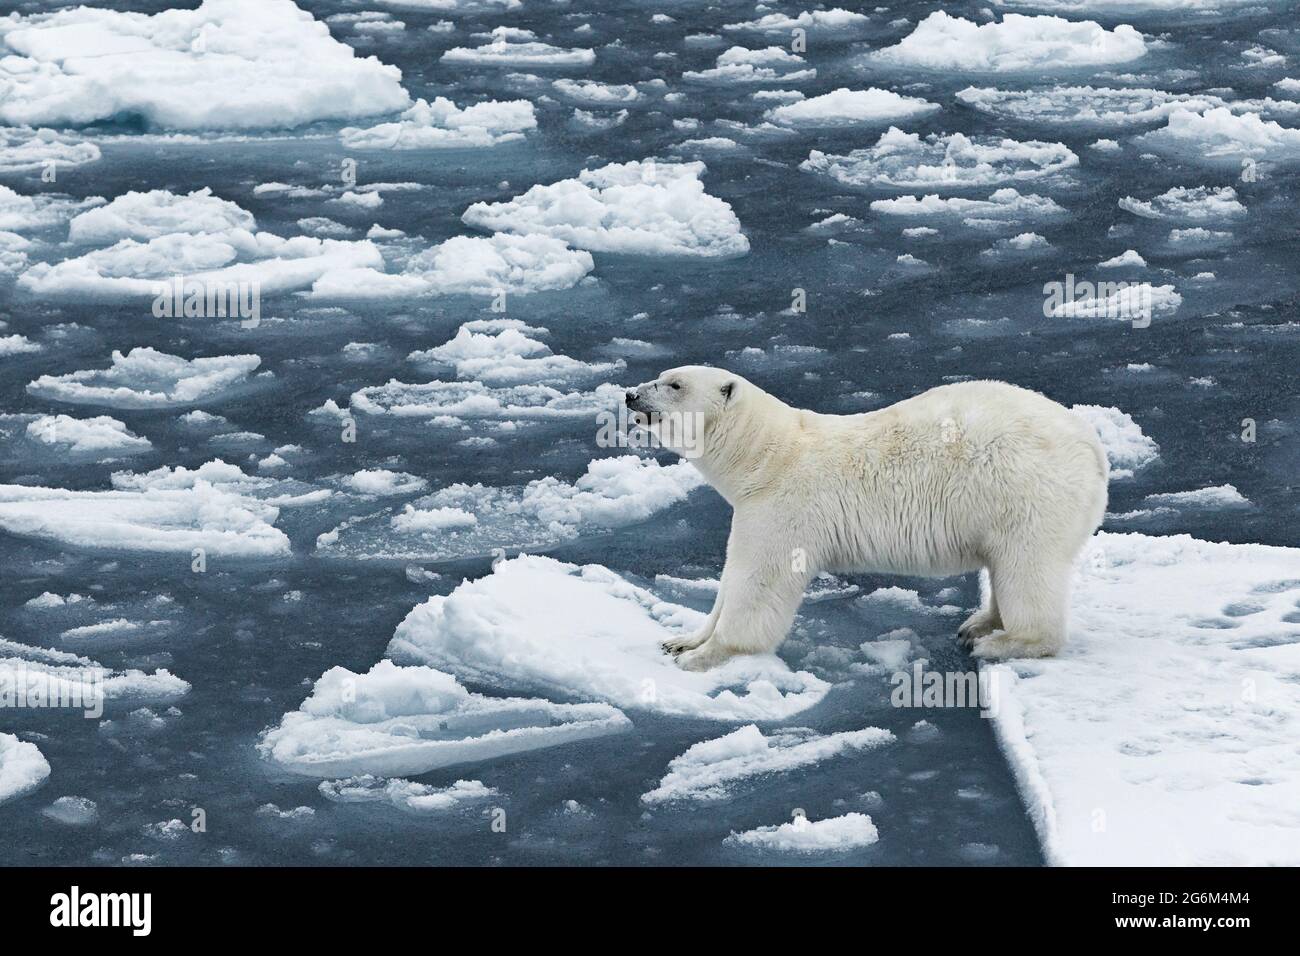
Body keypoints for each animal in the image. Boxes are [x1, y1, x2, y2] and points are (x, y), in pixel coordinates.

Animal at [626, 369, 1107, 671]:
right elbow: (731, 577)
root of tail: (1092, 445)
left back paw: (1002, 641)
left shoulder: (783, 505)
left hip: (1024, 490)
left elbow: (758, 581)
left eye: (674, 383)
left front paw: (704, 655)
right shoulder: (751, 505)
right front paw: (682, 638)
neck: (765, 455)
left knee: (1027, 566)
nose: (631, 393)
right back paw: (978, 624)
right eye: (663, 375)